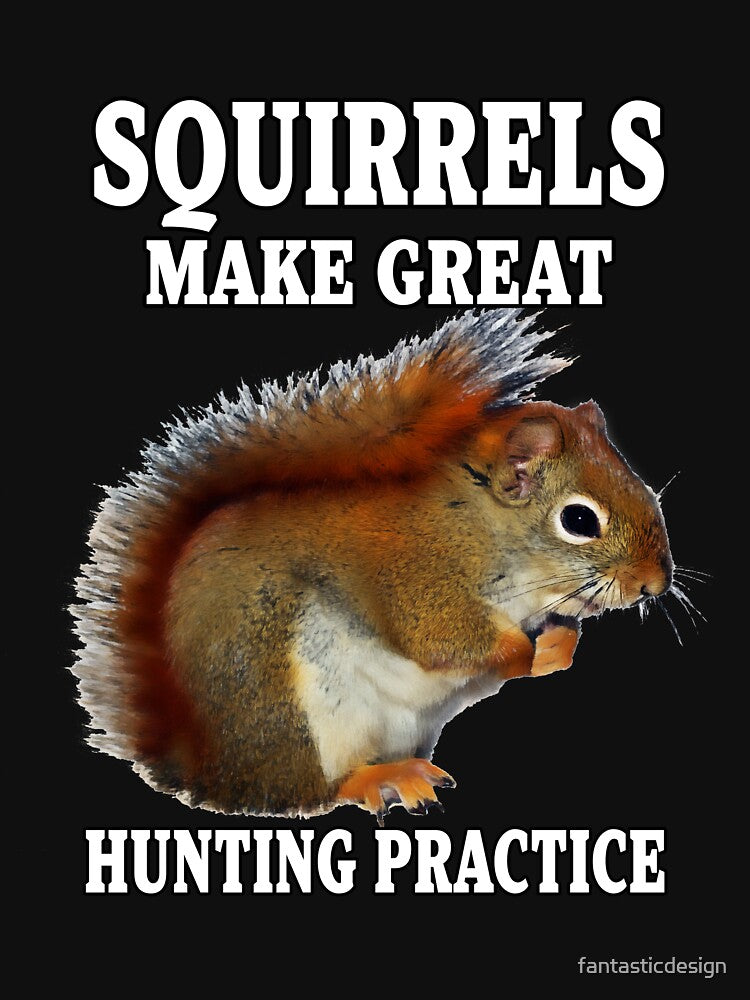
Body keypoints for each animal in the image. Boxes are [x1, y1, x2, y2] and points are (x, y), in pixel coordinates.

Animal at [72, 308, 673, 820]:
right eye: (579, 519)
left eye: (644, 488)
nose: (654, 585)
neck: (478, 526)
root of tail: (210, 771)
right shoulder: (413, 573)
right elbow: (439, 638)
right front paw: (523, 653)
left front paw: (559, 646)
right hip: (290, 708)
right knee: (312, 790)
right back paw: (379, 779)